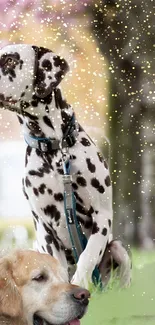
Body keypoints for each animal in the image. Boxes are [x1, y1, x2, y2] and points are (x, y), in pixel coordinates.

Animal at [0, 43, 131, 288]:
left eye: (10, 60)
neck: (54, 149)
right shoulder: (44, 227)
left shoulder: (102, 216)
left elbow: (88, 256)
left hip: (118, 249)